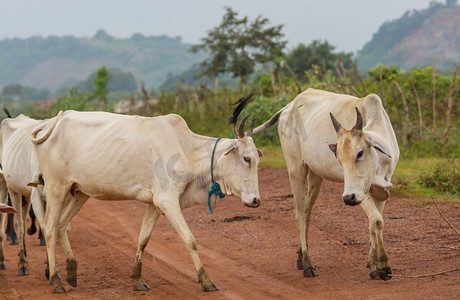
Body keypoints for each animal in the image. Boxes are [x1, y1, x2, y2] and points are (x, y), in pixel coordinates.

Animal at [29, 99, 262, 292]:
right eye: (246, 158)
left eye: (257, 160)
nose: (256, 200)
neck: (186, 149)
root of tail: (54, 121)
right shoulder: (168, 201)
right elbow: (190, 240)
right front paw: (206, 280)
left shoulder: (155, 204)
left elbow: (143, 239)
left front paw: (137, 279)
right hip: (56, 187)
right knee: (49, 228)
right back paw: (55, 280)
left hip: (79, 192)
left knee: (61, 225)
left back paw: (70, 271)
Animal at [252, 88, 398, 280]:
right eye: (339, 158)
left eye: (360, 153)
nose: (348, 198)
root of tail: (288, 107)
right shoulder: (359, 191)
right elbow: (377, 220)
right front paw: (383, 266)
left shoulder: (381, 188)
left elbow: (373, 223)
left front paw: (373, 263)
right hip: (296, 168)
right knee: (299, 213)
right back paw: (307, 263)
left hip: (316, 174)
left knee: (307, 211)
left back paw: (300, 257)